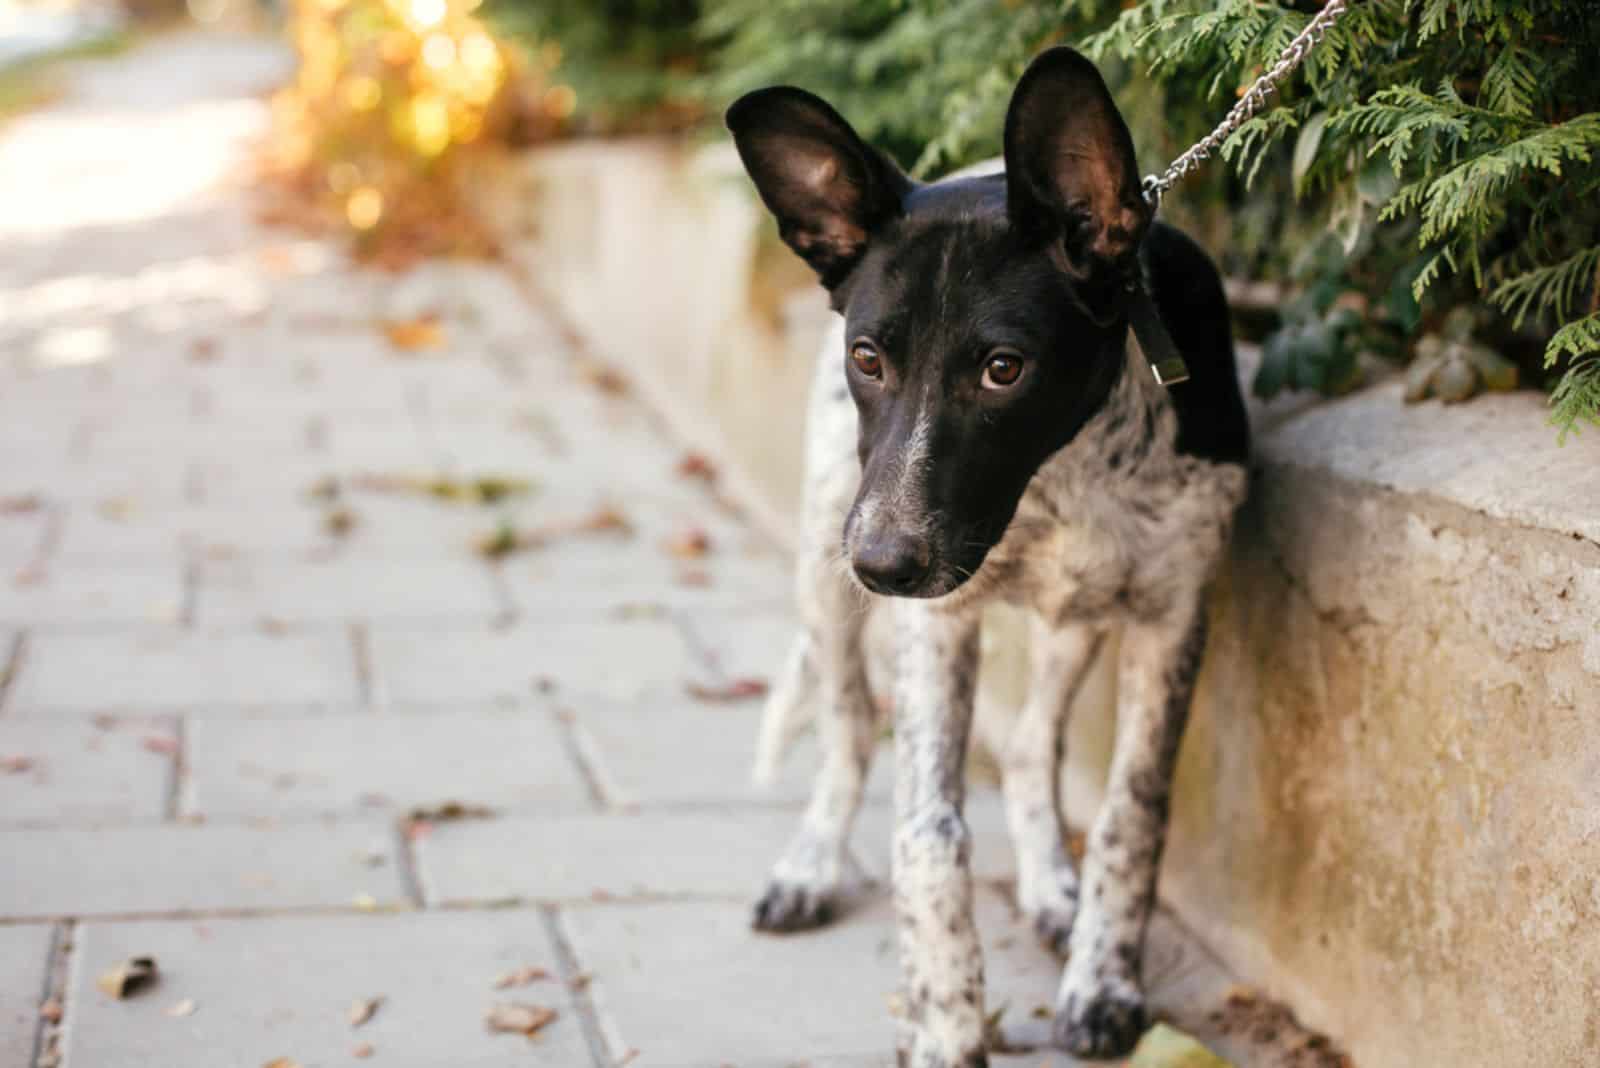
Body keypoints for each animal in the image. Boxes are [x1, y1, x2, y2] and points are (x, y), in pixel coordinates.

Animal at [732, 47, 1254, 1068]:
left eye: (1003, 369)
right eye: (869, 357)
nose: (883, 564)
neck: (1071, 466)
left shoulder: (1175, 611)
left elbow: (1132, 817)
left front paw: (1104, 979)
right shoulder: (935, 618)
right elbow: (928, 835)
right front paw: (947, 1019)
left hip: (1071, 613)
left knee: (1025, 748)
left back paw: (1055, 889)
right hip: (825, 562)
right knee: (848, 729)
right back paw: (811, 866)